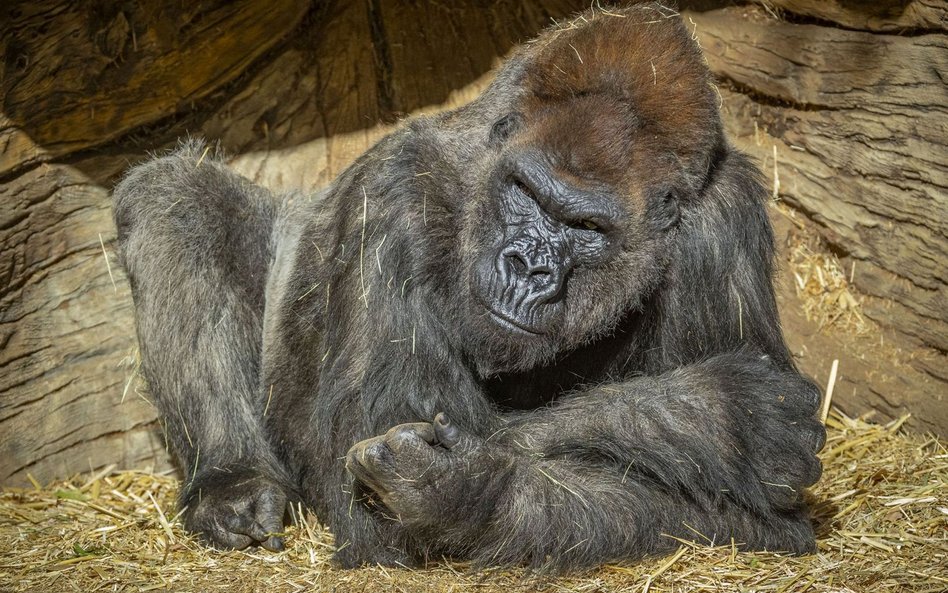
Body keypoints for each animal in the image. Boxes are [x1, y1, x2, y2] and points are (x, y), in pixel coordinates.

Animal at [111, 3, 824, 568]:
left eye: (586, 226)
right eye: (526, 193)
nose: (528, 266)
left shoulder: (722, 223)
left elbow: (758, 522)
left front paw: (459, 491)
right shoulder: (393, 195)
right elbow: (370, 490)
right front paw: (719, 416)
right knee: (178, 198)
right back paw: (231, 483)